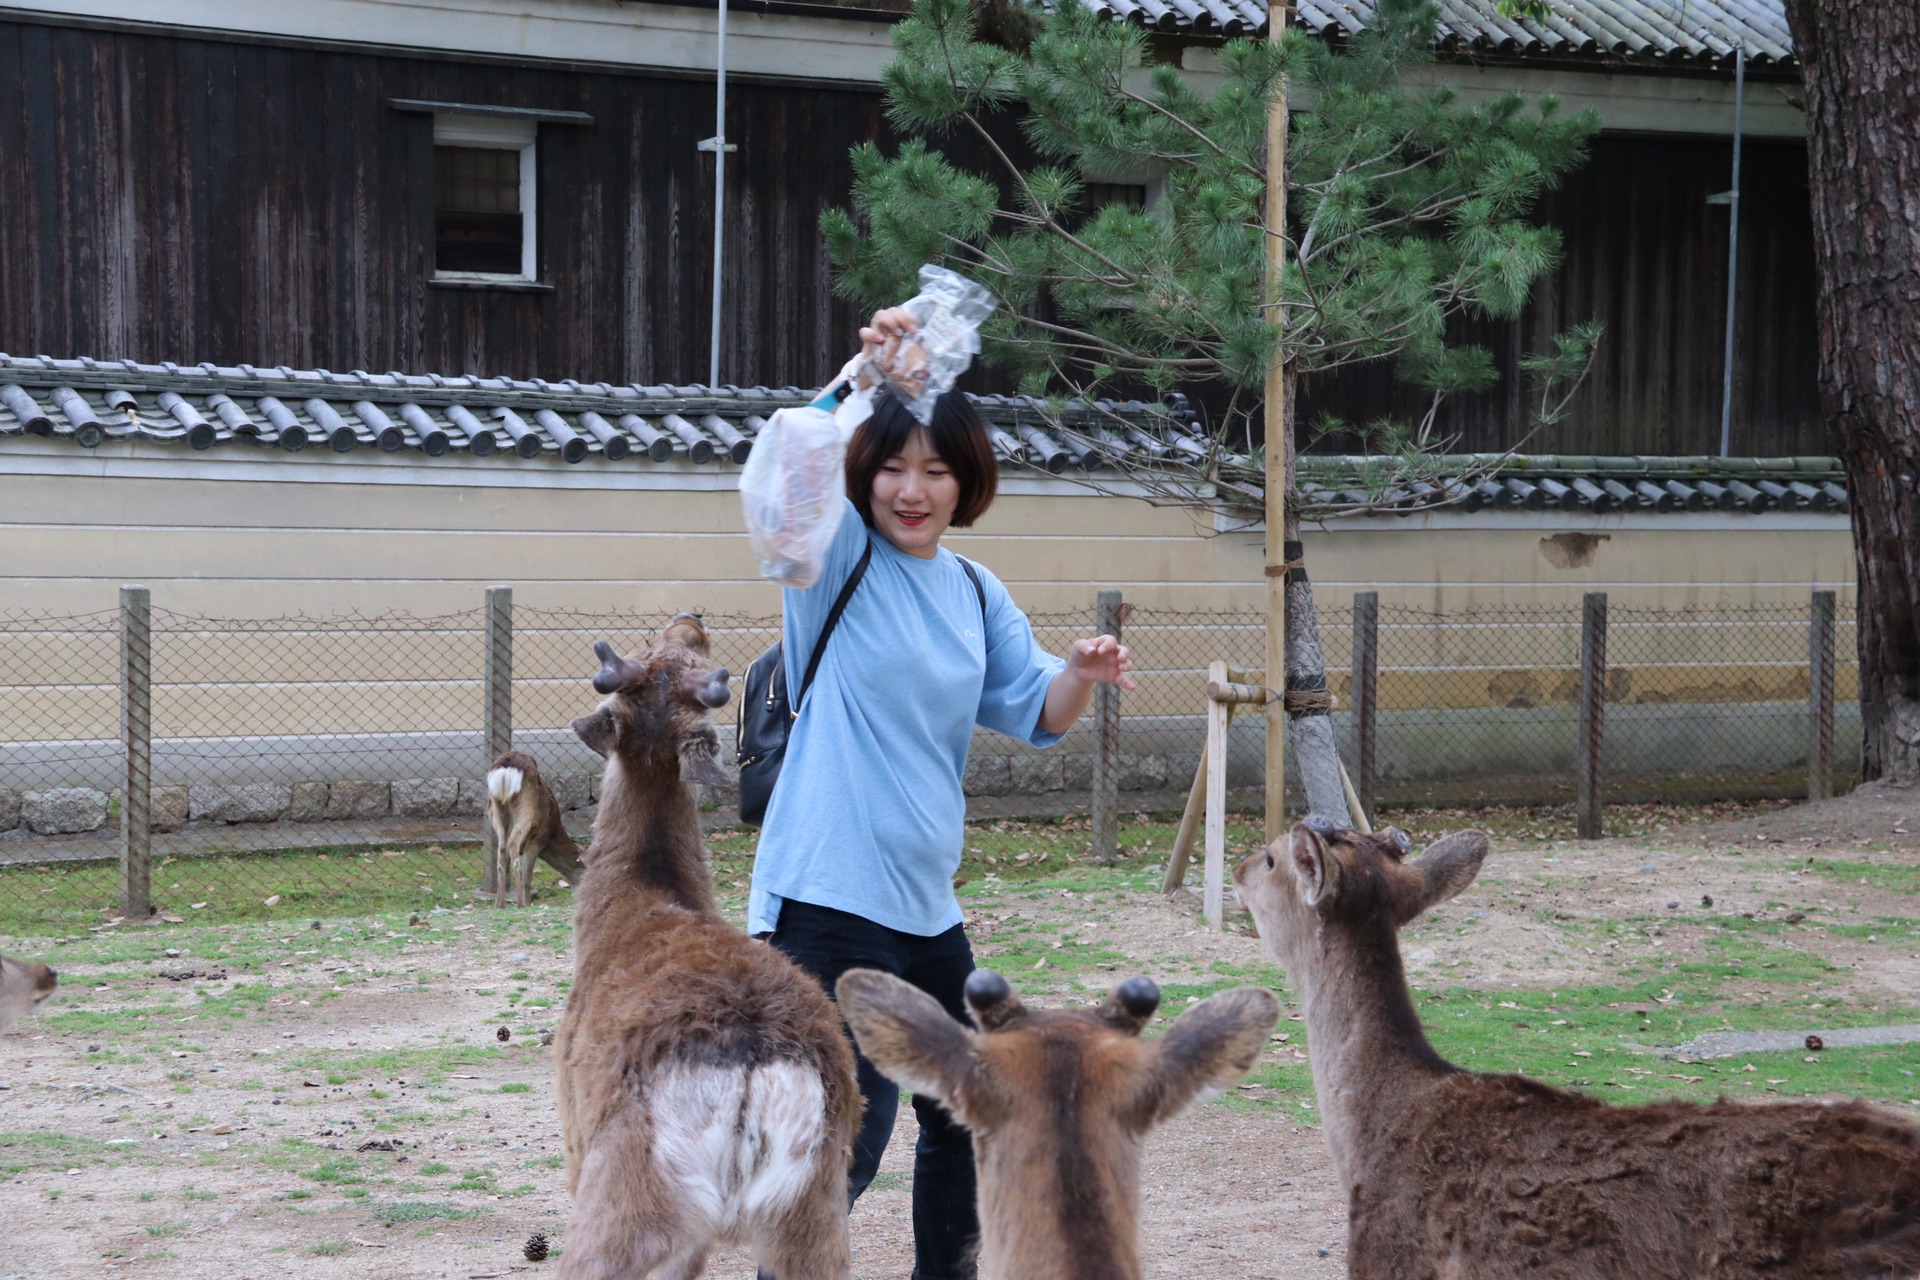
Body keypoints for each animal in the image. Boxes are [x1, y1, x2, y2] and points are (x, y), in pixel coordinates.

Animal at [480, 752, 583, 909]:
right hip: (524, 809)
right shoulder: (537, 840)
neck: (551, 835)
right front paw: (528, 903)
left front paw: (497, 903)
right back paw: (520, 903)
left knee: (502, 847)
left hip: (496, 809)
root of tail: (505, 767)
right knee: (513, 844)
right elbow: (527, 879)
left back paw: (501, 905)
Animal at [552, 614, 860, 1274]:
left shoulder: (571, 1129)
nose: (690, 619)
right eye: (666, 652)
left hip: (622, 1184)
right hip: (817, 1204)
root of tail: (752, 1063)